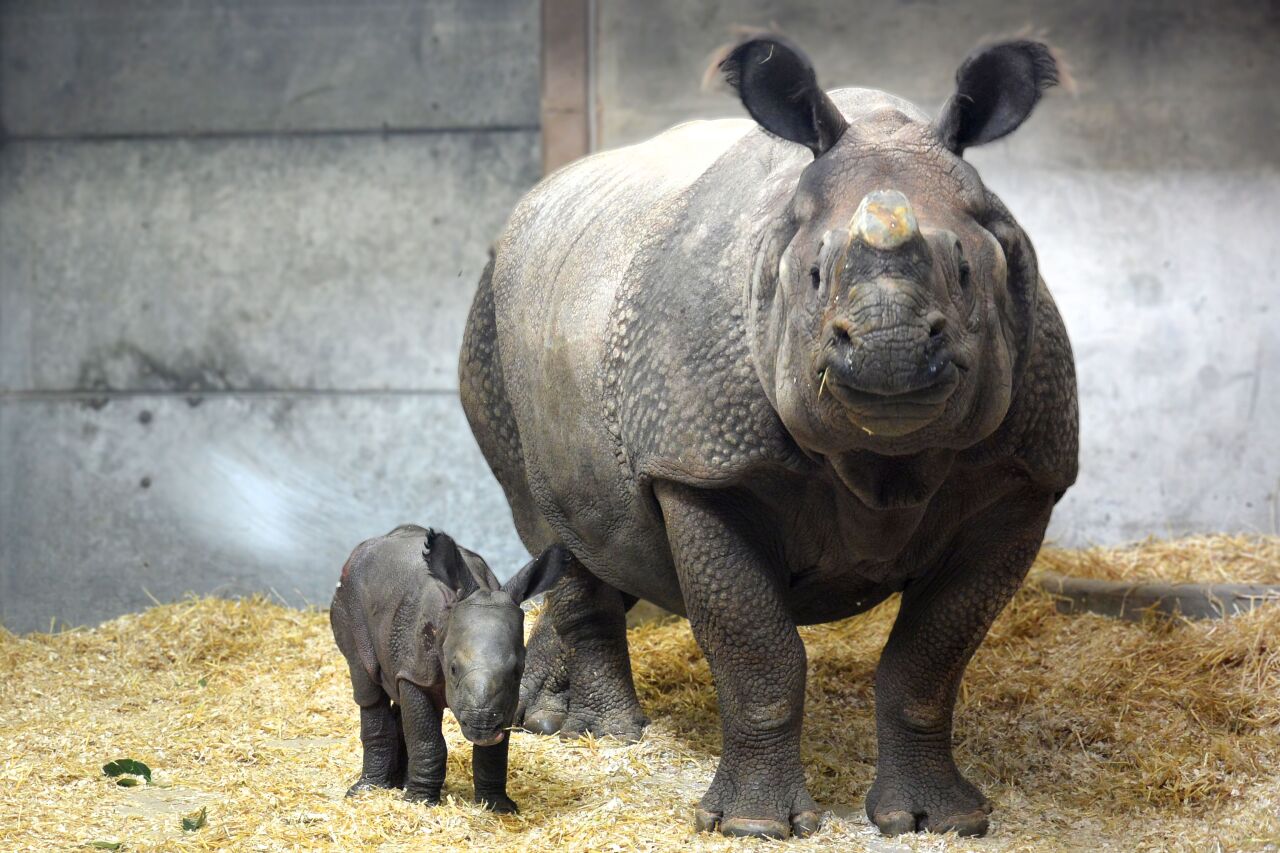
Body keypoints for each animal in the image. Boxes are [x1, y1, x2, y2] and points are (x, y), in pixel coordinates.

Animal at [459, 32, 1077, 839]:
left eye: (969, 271)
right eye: (812, 275)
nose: (887, 351)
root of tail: (528, 208)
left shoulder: (1022, 477)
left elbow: (930, 661)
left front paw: (937, 820)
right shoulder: (702, 466)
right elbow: (757, 650)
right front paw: (754, 826)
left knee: (606, 538)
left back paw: (545, 716)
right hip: (490, 324)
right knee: (547, 519)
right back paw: (612, 735)